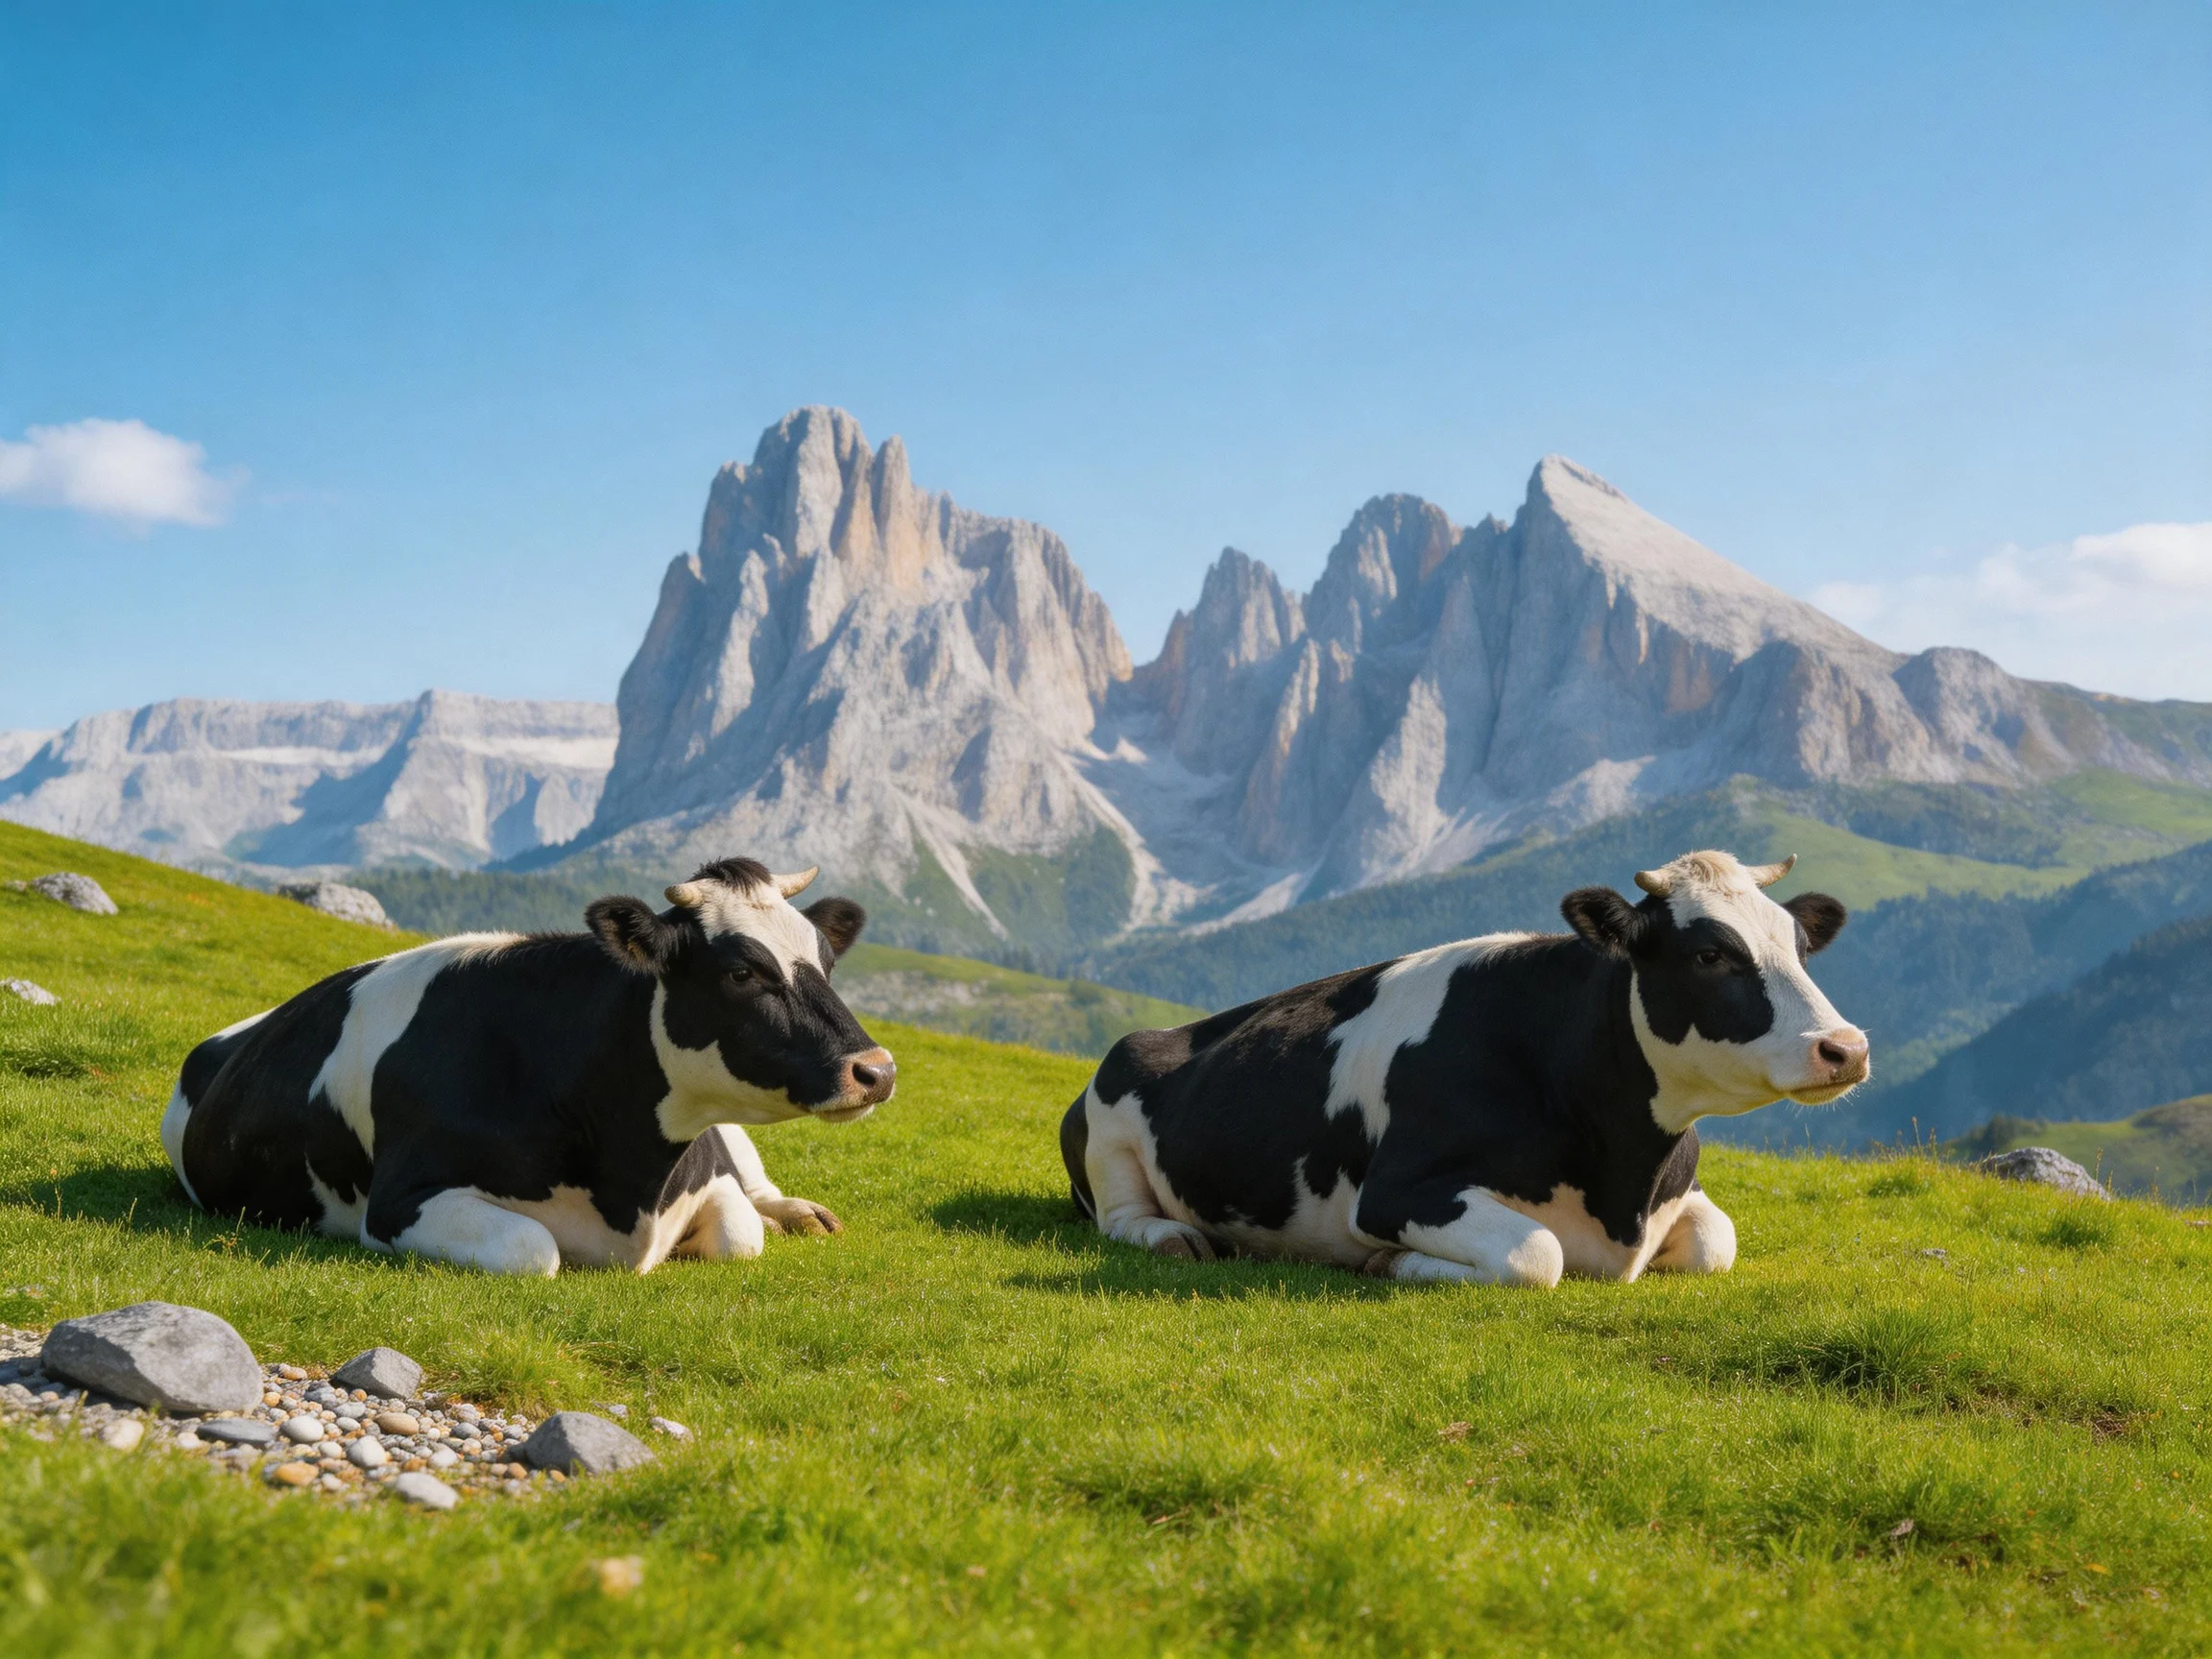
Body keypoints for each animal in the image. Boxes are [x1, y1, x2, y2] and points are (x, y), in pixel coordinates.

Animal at [161, 858, 895, 1276]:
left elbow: (739, 1231)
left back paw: (797, 1212)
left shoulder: (705, 1167)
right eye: (742, 972)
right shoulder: (402, 1201)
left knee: (757, 1190)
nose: (878, 1070)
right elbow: (533, 1250)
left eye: (825, 962)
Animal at [1059, 850, 1868, 1288]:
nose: (1847, 1048)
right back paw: (1176, 1238)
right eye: (1708, 954)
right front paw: (1389, 1264)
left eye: (1800, 946)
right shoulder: (1393, 1192)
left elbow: (1714, 1242)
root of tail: (1170, 1031)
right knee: (1123, 1217)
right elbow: (1534, 1253)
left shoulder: (1683, 1196)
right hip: (1111, 1119)